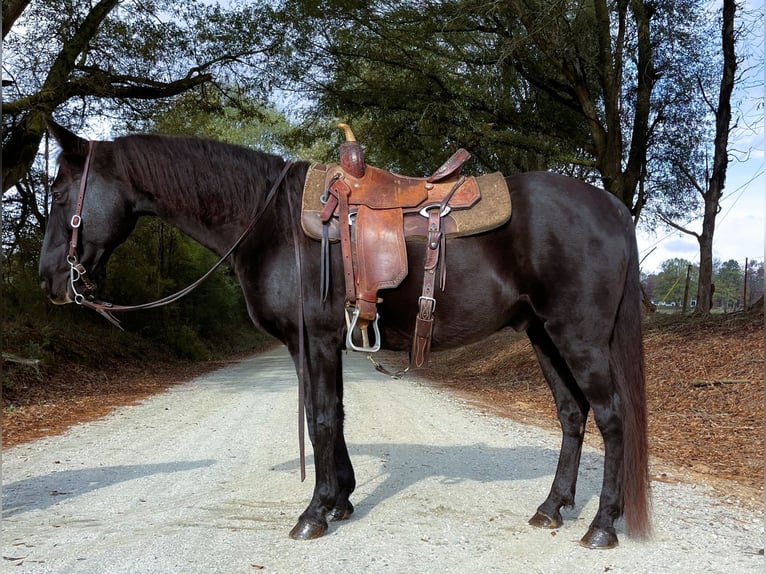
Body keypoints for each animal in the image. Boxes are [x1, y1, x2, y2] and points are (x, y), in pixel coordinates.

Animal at [36, 120, 648, 548]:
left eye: (61, 197)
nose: (49, 281)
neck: (272, 223)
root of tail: (612, 206)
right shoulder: (323, 344)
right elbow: (332, 414)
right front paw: (341, 500)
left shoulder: (315, 342)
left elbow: (322, 418)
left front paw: (314, 512)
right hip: (543, 335)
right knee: (572, 415)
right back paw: (552, 507)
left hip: (578, 336)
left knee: (612, 417)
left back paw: (601, 525)